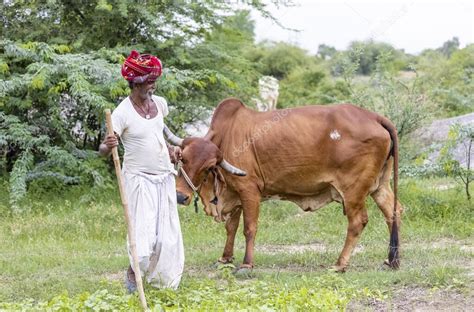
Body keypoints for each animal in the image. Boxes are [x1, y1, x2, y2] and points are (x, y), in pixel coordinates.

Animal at [165, 98, 402, 272]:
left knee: (357, 222)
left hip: (353, 191)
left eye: (207, 168)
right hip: (380, 185)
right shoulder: (234, 193)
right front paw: (225, 258)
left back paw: (340, 264)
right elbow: (231, 228)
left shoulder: (249, 190)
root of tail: (374, 116)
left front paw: (246, 264)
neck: (227, 137)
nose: (180, 196)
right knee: (393, 212)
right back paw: (393, 260)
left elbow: (249, 228)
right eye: (182, 158)